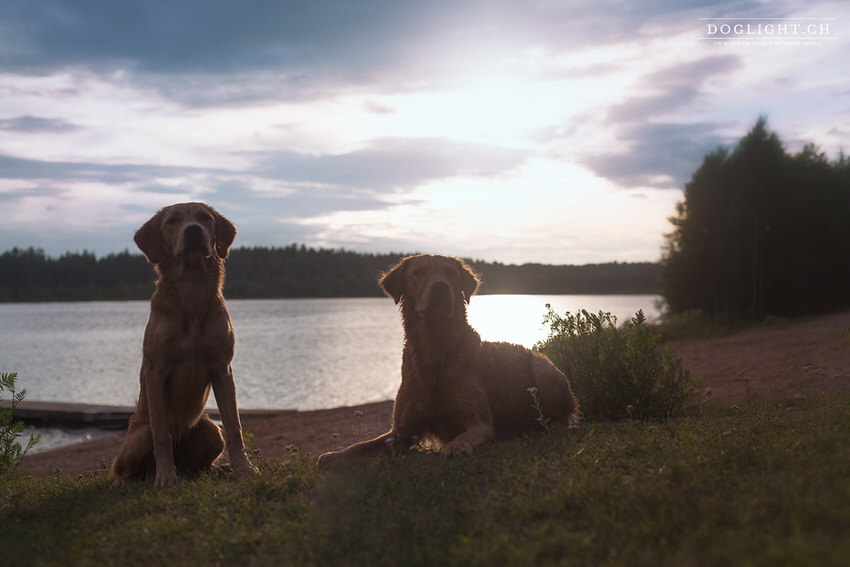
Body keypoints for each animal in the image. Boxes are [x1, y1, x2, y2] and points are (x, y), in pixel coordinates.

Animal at [112, 202, 258, 486]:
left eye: (205, 218)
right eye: (172, 221)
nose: (193, 231)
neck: (192, 289)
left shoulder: (222, 367)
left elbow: (234, 426)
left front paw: (243, 467)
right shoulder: (155, 370)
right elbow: (161, 435)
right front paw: (166, 477)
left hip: (211, 430)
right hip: (139, 436)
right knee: (124, 467)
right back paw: (129, 480)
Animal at [314, 255, 580, 468]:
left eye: (451, 273)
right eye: (419, 272)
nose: (440, 287)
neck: (436, 348)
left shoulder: (480, 423)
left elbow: (464, 435)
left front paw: (454, 446)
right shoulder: (401, 430)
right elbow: (363, 445)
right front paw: (333, 455)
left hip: (543, 368)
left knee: (561, 416)